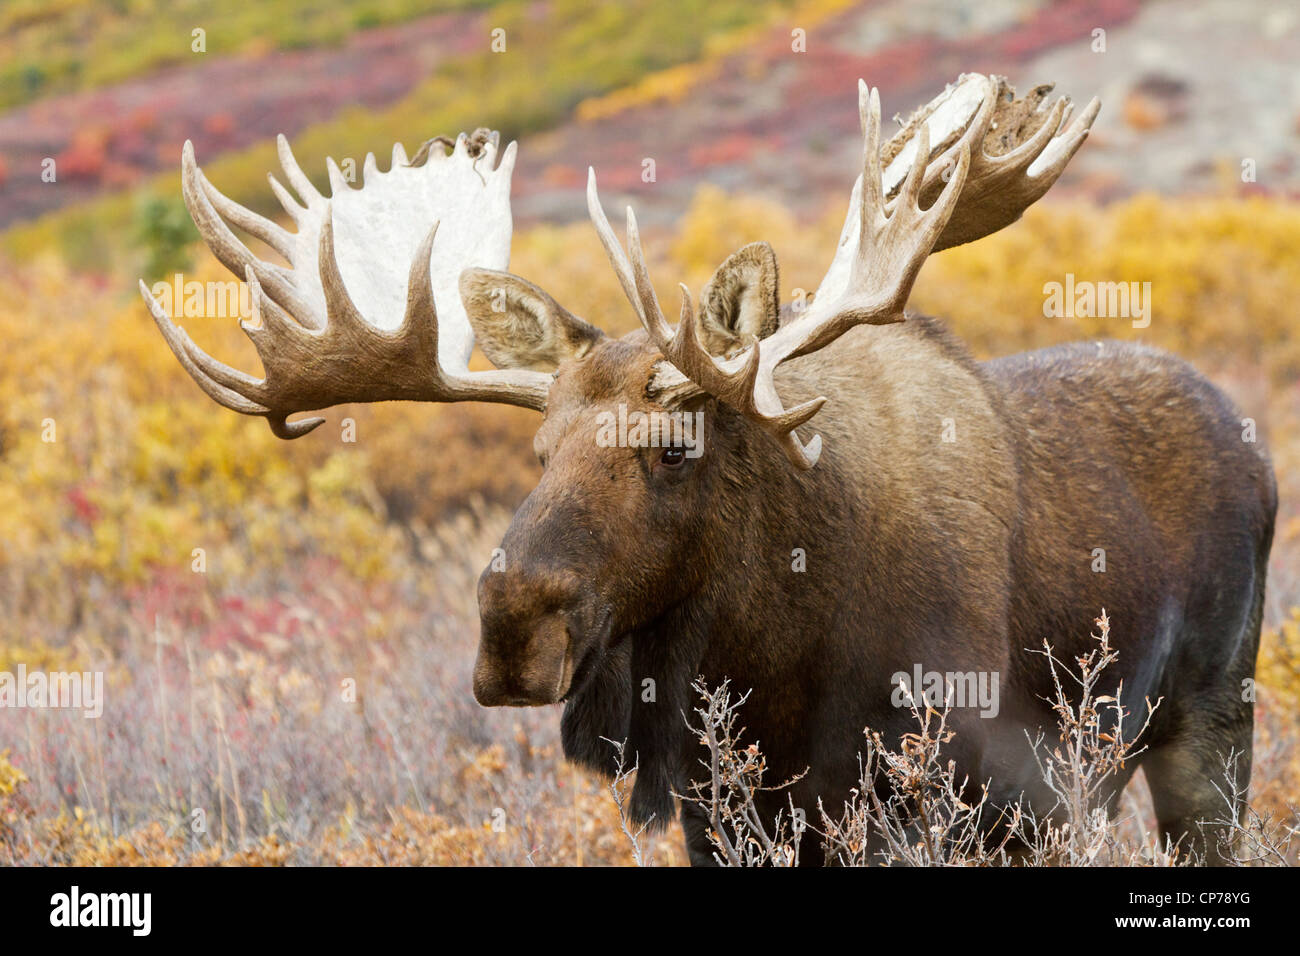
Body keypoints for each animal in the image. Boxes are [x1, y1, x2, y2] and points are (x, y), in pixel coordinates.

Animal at [144, 76, 1279, 868]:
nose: (511, 625)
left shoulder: (947, 796)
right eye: (538, 451)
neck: (766, 653)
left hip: (1211, 719)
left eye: (675, 447)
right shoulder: (724, 814)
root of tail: (1254, 437)